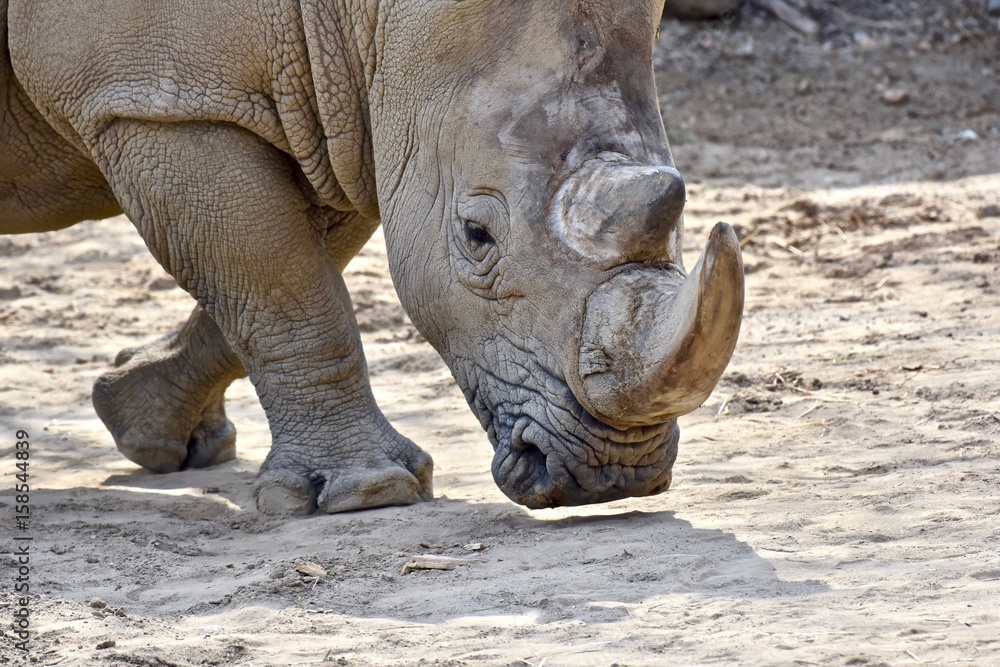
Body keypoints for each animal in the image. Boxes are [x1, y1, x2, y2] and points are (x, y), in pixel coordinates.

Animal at [1, 0, 744, 514]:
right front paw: (371, 492)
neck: (369, 19)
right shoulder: (153, 101)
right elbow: (285, 290)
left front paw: (151, 427)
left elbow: (271, 282)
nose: (612, 474)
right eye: (476, 236)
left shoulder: (338, 111)